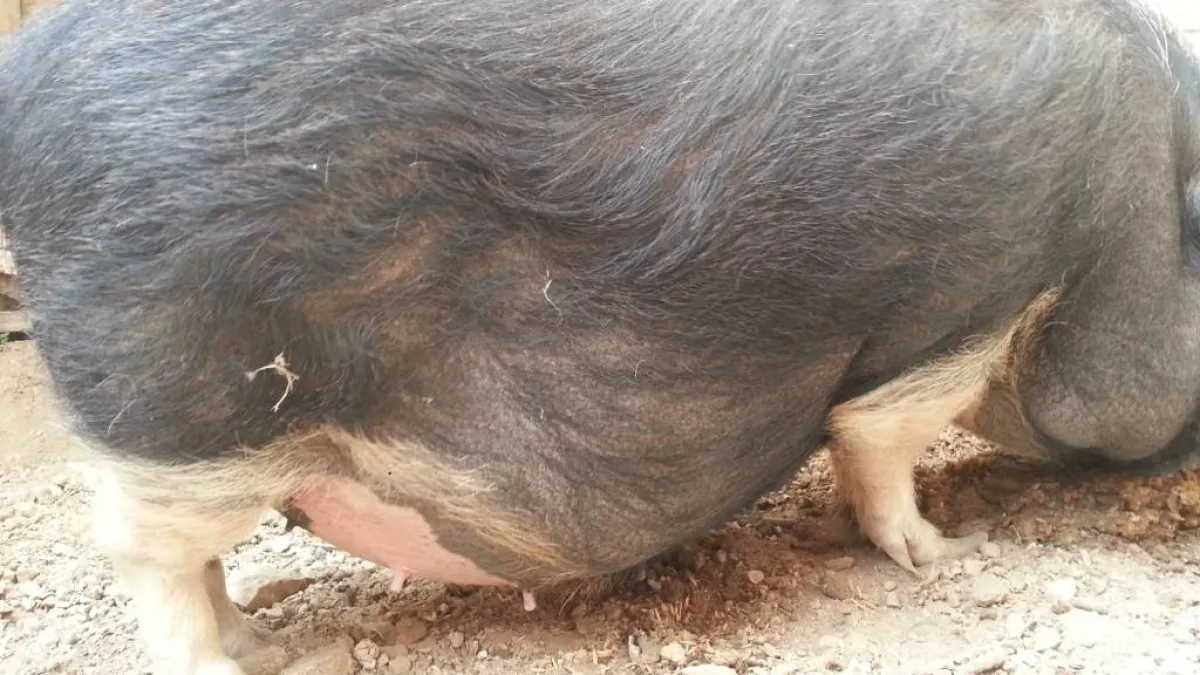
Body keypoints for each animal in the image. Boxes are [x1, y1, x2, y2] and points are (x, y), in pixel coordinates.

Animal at [2, 0, 1199, 673]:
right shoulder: (960, 306)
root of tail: (24, 86)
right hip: (182, 399)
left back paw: (263, 640)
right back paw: (233, 664)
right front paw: (942, 554)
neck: (1128, 204)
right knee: (143, 554)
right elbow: (881, 444)